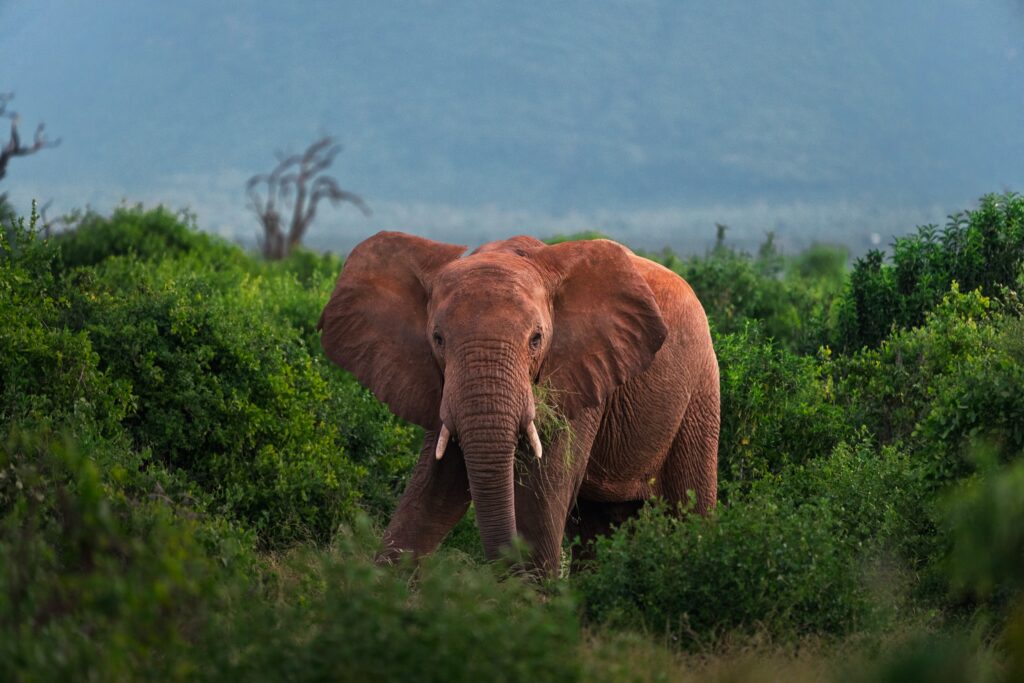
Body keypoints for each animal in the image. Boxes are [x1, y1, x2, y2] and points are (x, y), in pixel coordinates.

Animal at [318, 231, 719, 576]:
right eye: (438, 338)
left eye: (536, 339)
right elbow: (436, 489)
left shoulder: (578, 373)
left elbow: (540, 498)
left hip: (700, 391)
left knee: (689, 508)